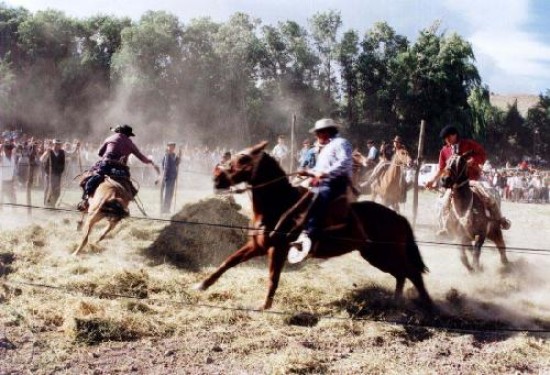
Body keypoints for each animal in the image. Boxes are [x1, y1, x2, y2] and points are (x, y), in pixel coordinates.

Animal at [196, 142, 434, 312]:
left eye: (243, 158)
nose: (216, 177)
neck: (280, 203)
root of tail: (399, 218)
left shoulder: (278, 249)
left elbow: (273, 278)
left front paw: (264, 306)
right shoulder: (258, 245)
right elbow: (228, 262)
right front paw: (202, 285)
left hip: (385, 253)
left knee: (412, 273)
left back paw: (428, 306)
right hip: (375, 254)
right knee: (402, 274)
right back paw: (397, 302)